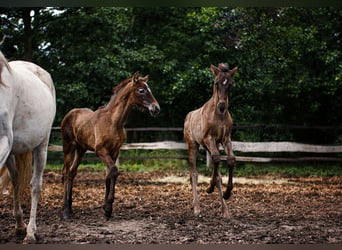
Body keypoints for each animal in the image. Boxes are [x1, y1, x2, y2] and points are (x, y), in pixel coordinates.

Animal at [0, 50, 55, 242]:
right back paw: (19, 225)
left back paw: (30, 232)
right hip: (12, 152)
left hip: (42, 145)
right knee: (16, 180)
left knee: (35, 185)